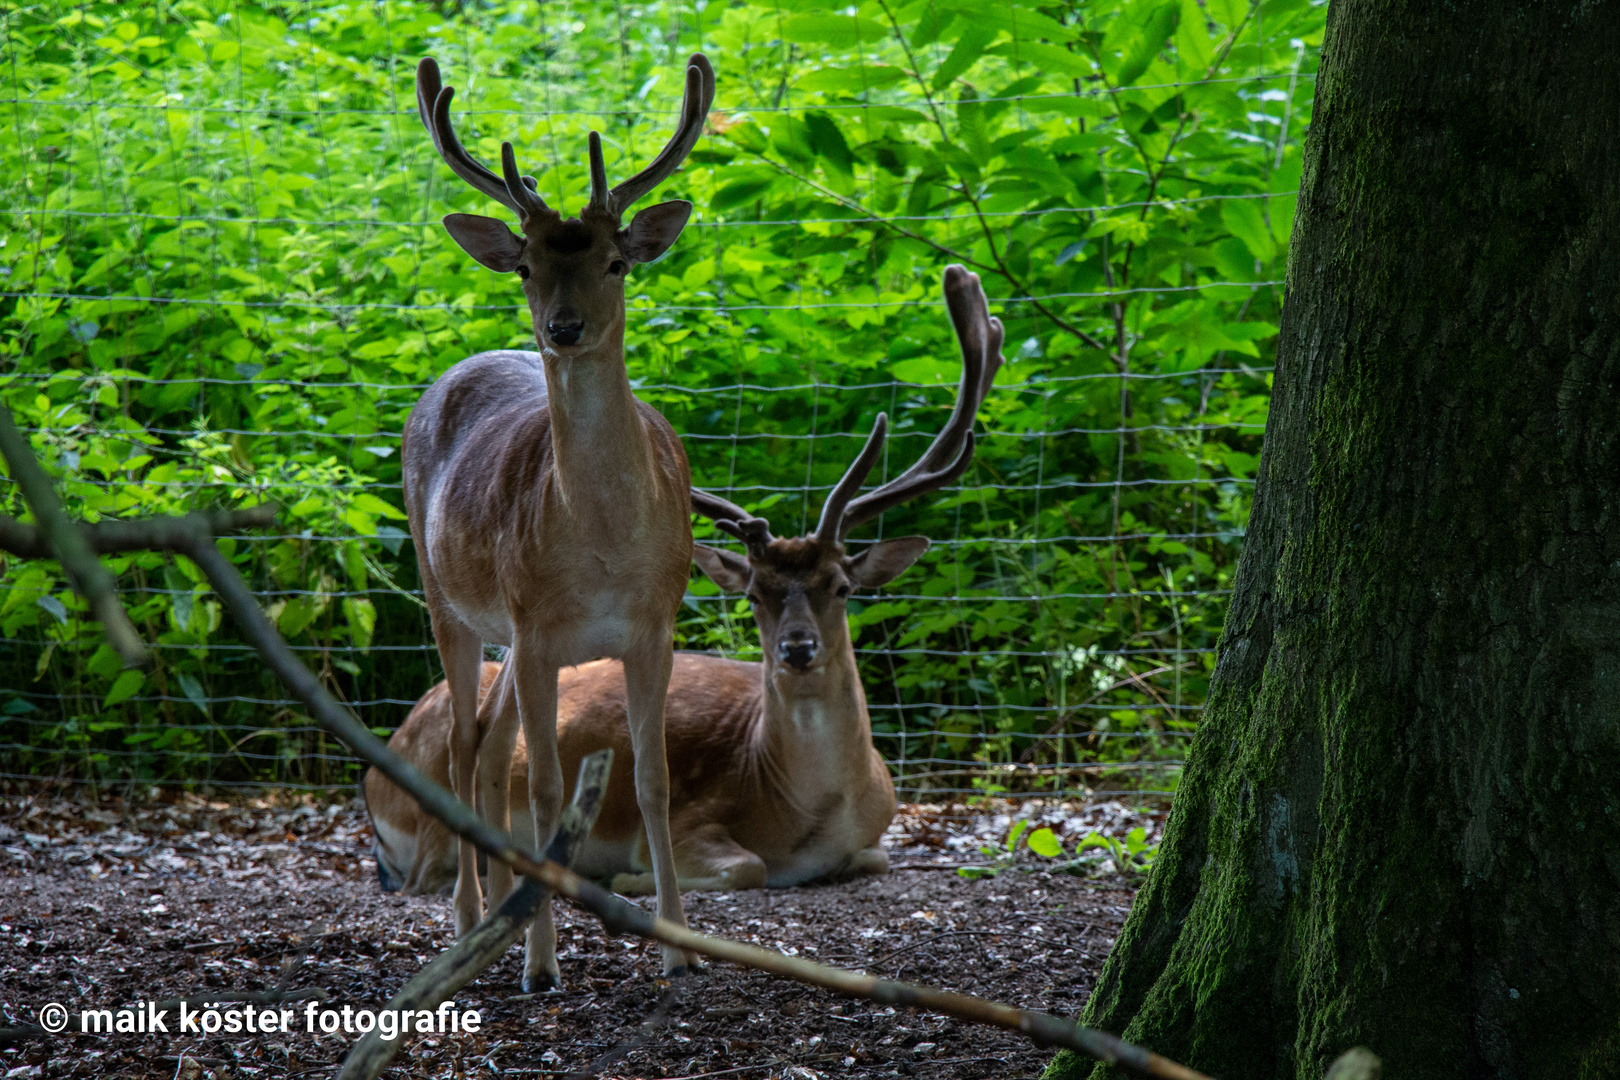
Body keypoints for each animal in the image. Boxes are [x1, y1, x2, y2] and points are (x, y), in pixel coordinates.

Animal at [369, 265, 1004, 900]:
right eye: (753, 595)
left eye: (842, 586)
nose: (798, 649)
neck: (810, 813)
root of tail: (380, 766)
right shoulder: (695, 818)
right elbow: (747, 866)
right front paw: (631, 875)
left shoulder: (872, 840)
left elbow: (873, 859)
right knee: (427, 867)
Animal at [401, 57, 712, 990]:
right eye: (527, 267)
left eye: (616, 261)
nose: (563, 327)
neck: (604, 547)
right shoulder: (539, 627)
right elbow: (543, 790)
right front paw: (542, 963)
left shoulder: (653, 623)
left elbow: (650, 779)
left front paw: (678, 945)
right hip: (449, 596)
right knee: (466, 748)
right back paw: (473, 920)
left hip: (508, 633)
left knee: (489, 746)